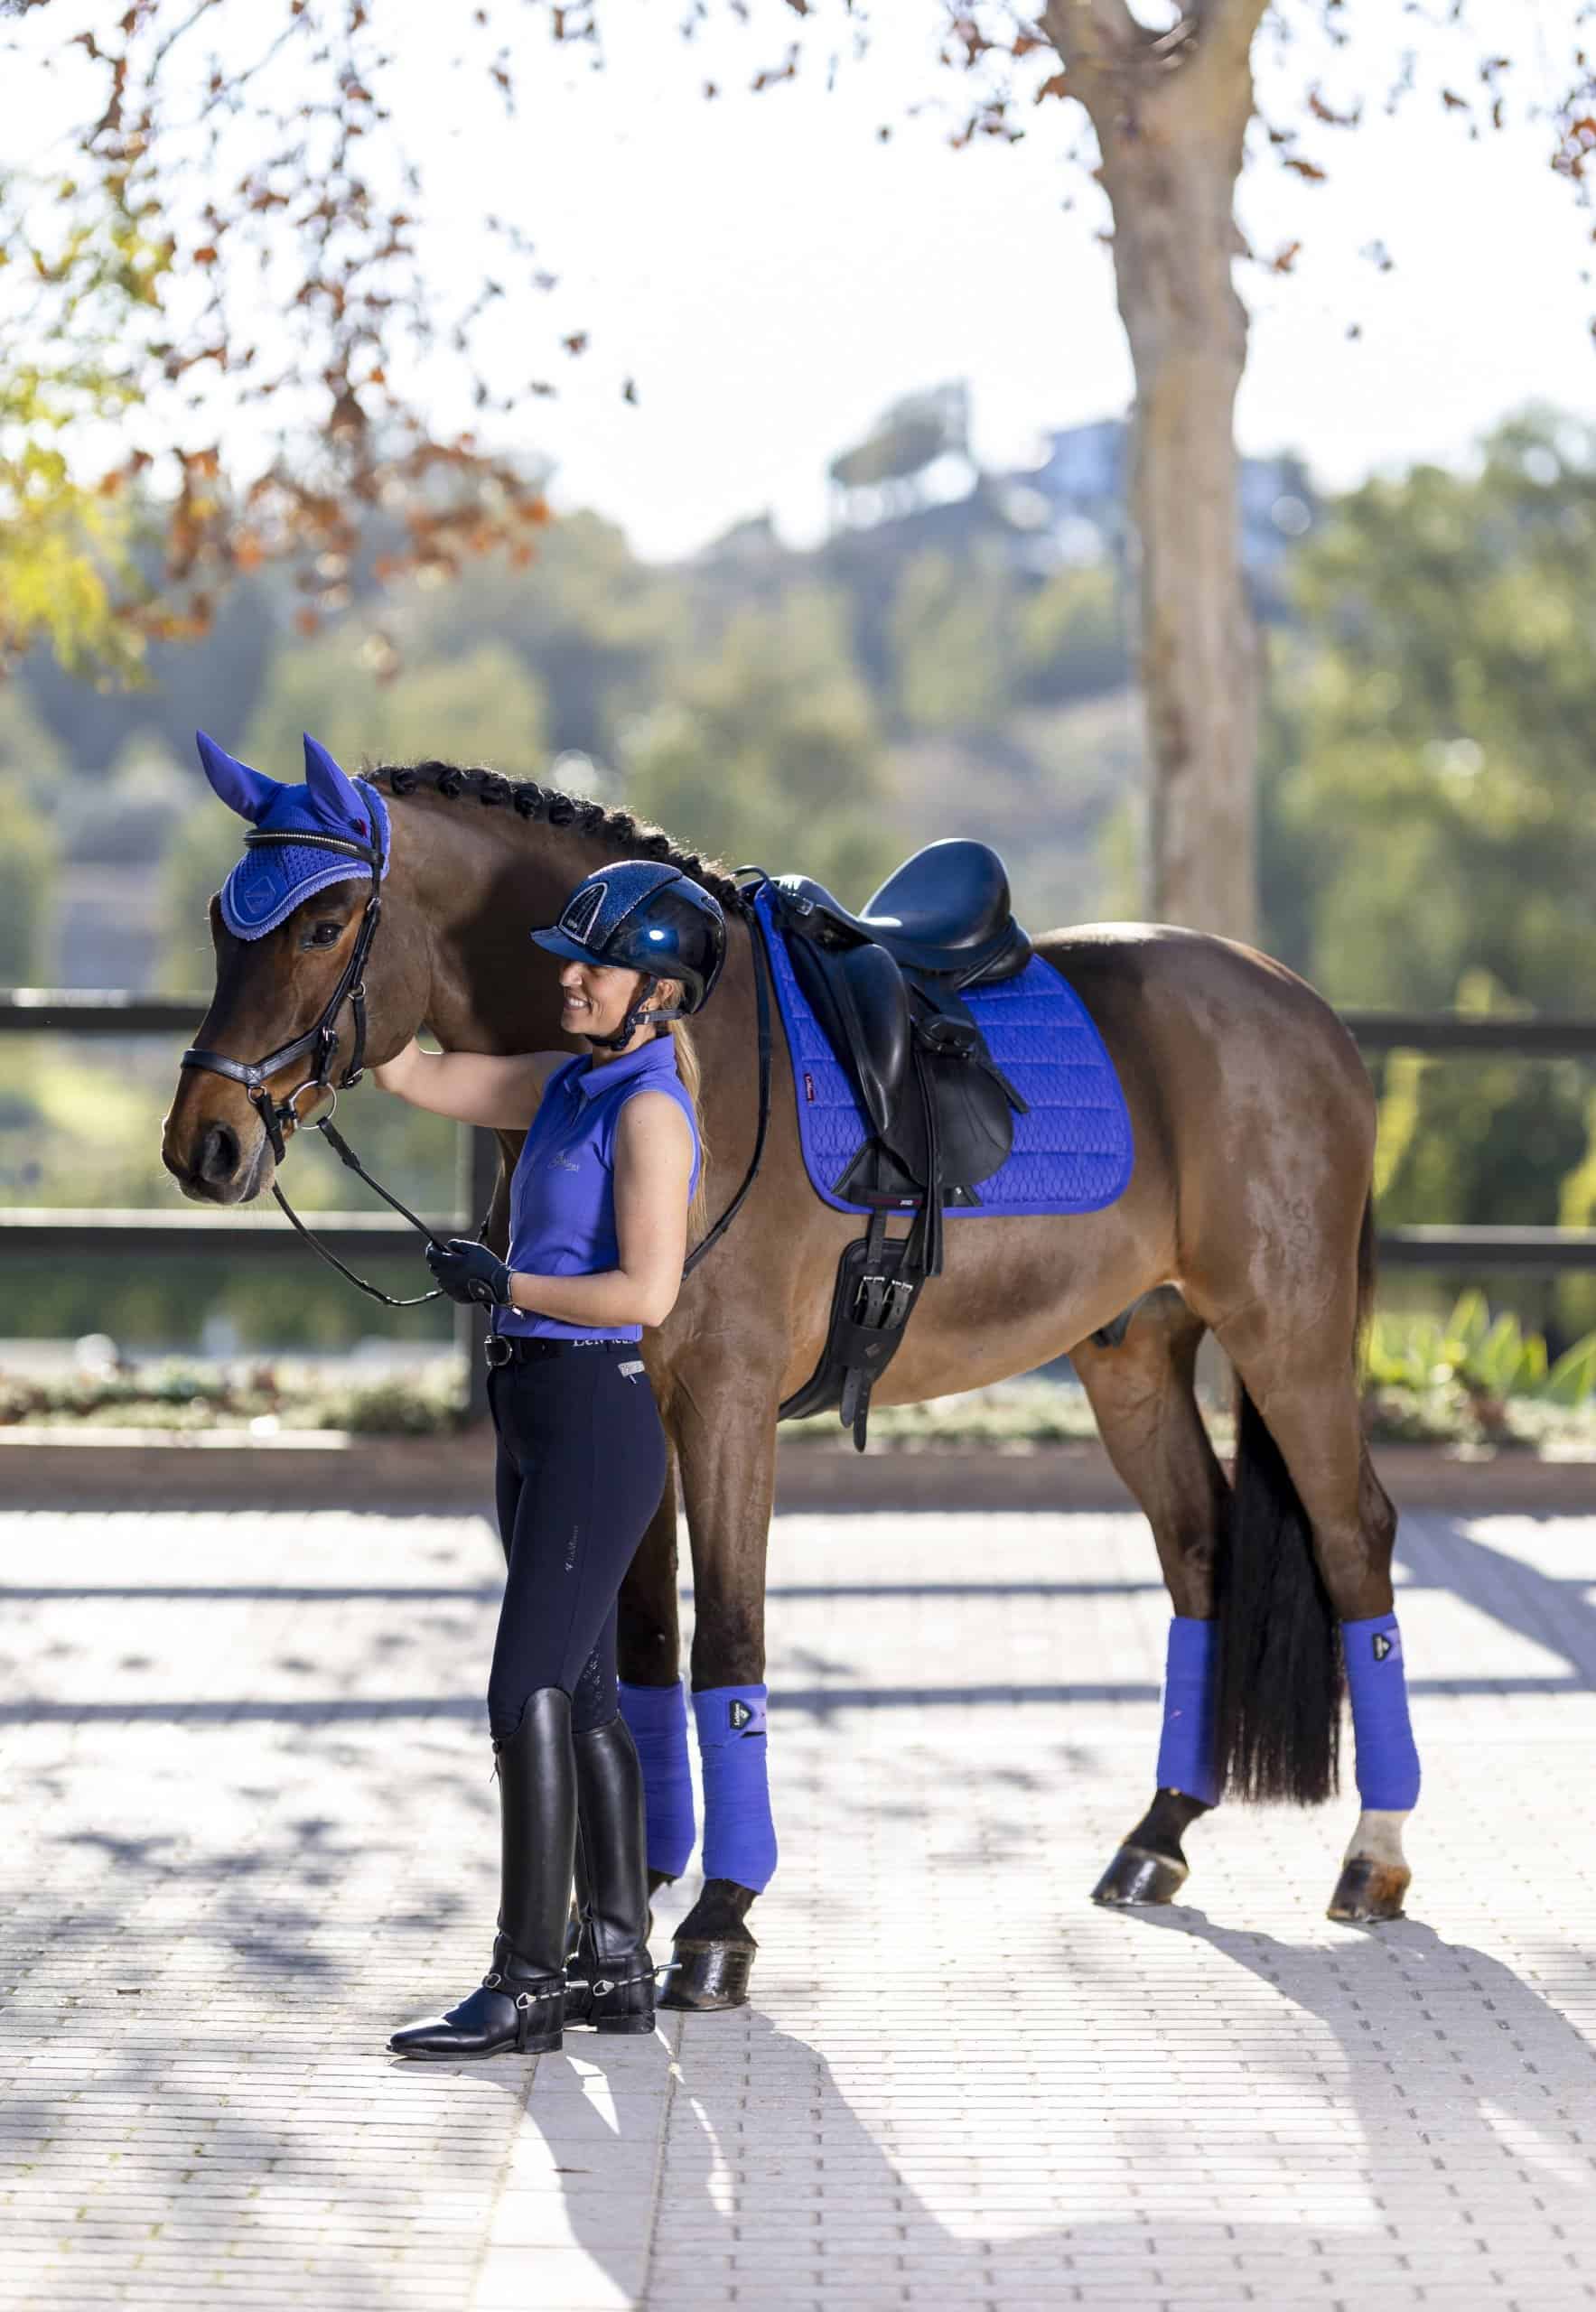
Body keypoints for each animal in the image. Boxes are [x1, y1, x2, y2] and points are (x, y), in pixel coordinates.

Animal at [162, 746, 1413, 2011]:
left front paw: (721, 1919)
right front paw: (636, 1896)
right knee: (1199, 1546)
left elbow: (729, 1646)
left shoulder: (724, 1405)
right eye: (223, 922)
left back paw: (1373, 1857)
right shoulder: (642, 1410)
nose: (202, 1145)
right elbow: (647, 1647)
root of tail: (1302, 1006)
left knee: (1354, 1539)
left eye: (324, 924)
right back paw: (1157, 1836)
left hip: (1286, 1330)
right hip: (1134, 1354)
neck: (682, 1066)